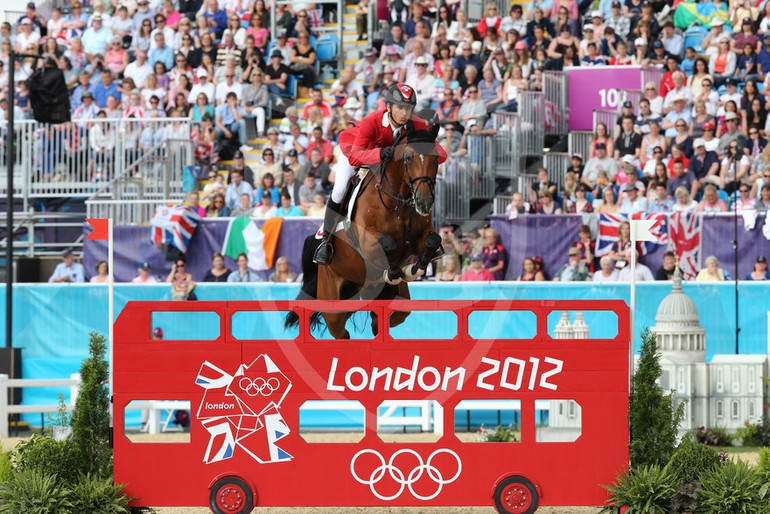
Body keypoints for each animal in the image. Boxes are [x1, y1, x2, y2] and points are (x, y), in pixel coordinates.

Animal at [284, 120, 440, 336]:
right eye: (408, 158)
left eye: (436, 158)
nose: (424, 202)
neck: (398, 200)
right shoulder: (368, 242)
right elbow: (388, 244)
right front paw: (394, 272)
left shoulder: (419, 239)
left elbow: (433, 240)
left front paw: (415, 268)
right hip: (332, 306)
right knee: (341, 331)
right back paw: (324, 252)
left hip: (390, 303)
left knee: (381, 320)